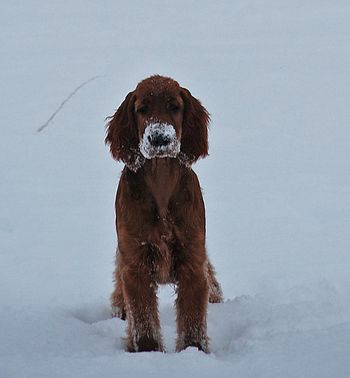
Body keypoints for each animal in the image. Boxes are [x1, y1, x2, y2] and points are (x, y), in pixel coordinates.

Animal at [105, 75, 223, 352]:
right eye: (142, 109)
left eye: (175, 107)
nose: (160, 139)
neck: (161, 182)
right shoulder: (135, 264)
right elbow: (143, 320)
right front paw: (148, 352)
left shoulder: (192, 260)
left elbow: (192, 319)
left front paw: (193, 352)